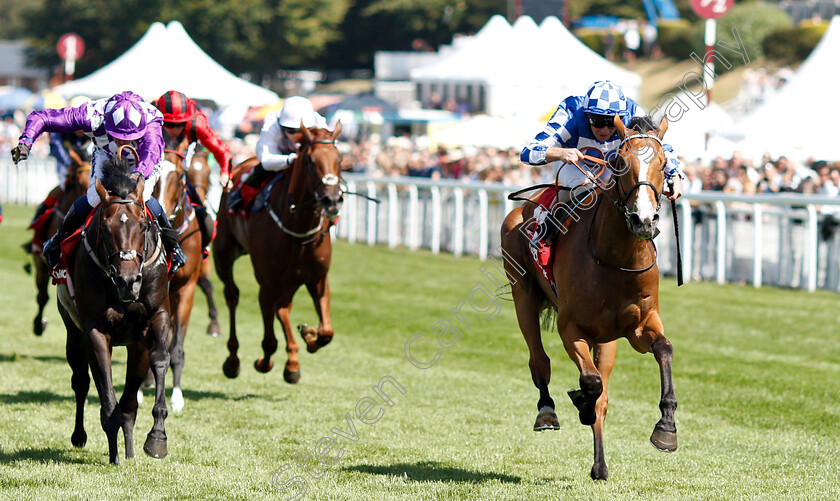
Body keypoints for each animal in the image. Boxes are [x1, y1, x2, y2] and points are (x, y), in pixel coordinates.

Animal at [55, 146, 171, 464]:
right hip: (72, 330)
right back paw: (80, 436)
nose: (128, 281)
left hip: (133, 343)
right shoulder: (95, 329)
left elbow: (159, 361)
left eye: (143, 226)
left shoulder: (154, 320)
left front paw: (156, 438)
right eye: (105, 228)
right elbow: (107, 397)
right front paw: (114, 455)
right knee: (80, 381)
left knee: (129, 401)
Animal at [215, 121, 342, 382]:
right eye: (310, 160)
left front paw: (310, 336)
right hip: (223, 254)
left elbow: (327, 331)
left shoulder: (317, 279)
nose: (333, 200)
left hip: (289, 281)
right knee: (233, 295)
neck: (297, 227)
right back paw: (233, 360)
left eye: (340, 158)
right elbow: (269, 340)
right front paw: (265, 362)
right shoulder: (267, 283)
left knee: (283, 308)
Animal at [502, 115, 680, 478]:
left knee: (604, 393)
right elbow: (590, 382)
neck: (616, 260)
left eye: (664, 163)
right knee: (539, 361)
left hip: (607, 339)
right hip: (522, 294)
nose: (643, 220)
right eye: (619, 162)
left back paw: (600, 466)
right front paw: (581, 402)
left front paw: (666, 428)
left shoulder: (639, 326)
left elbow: (664, 349)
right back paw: (547, 411)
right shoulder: (572, 328)